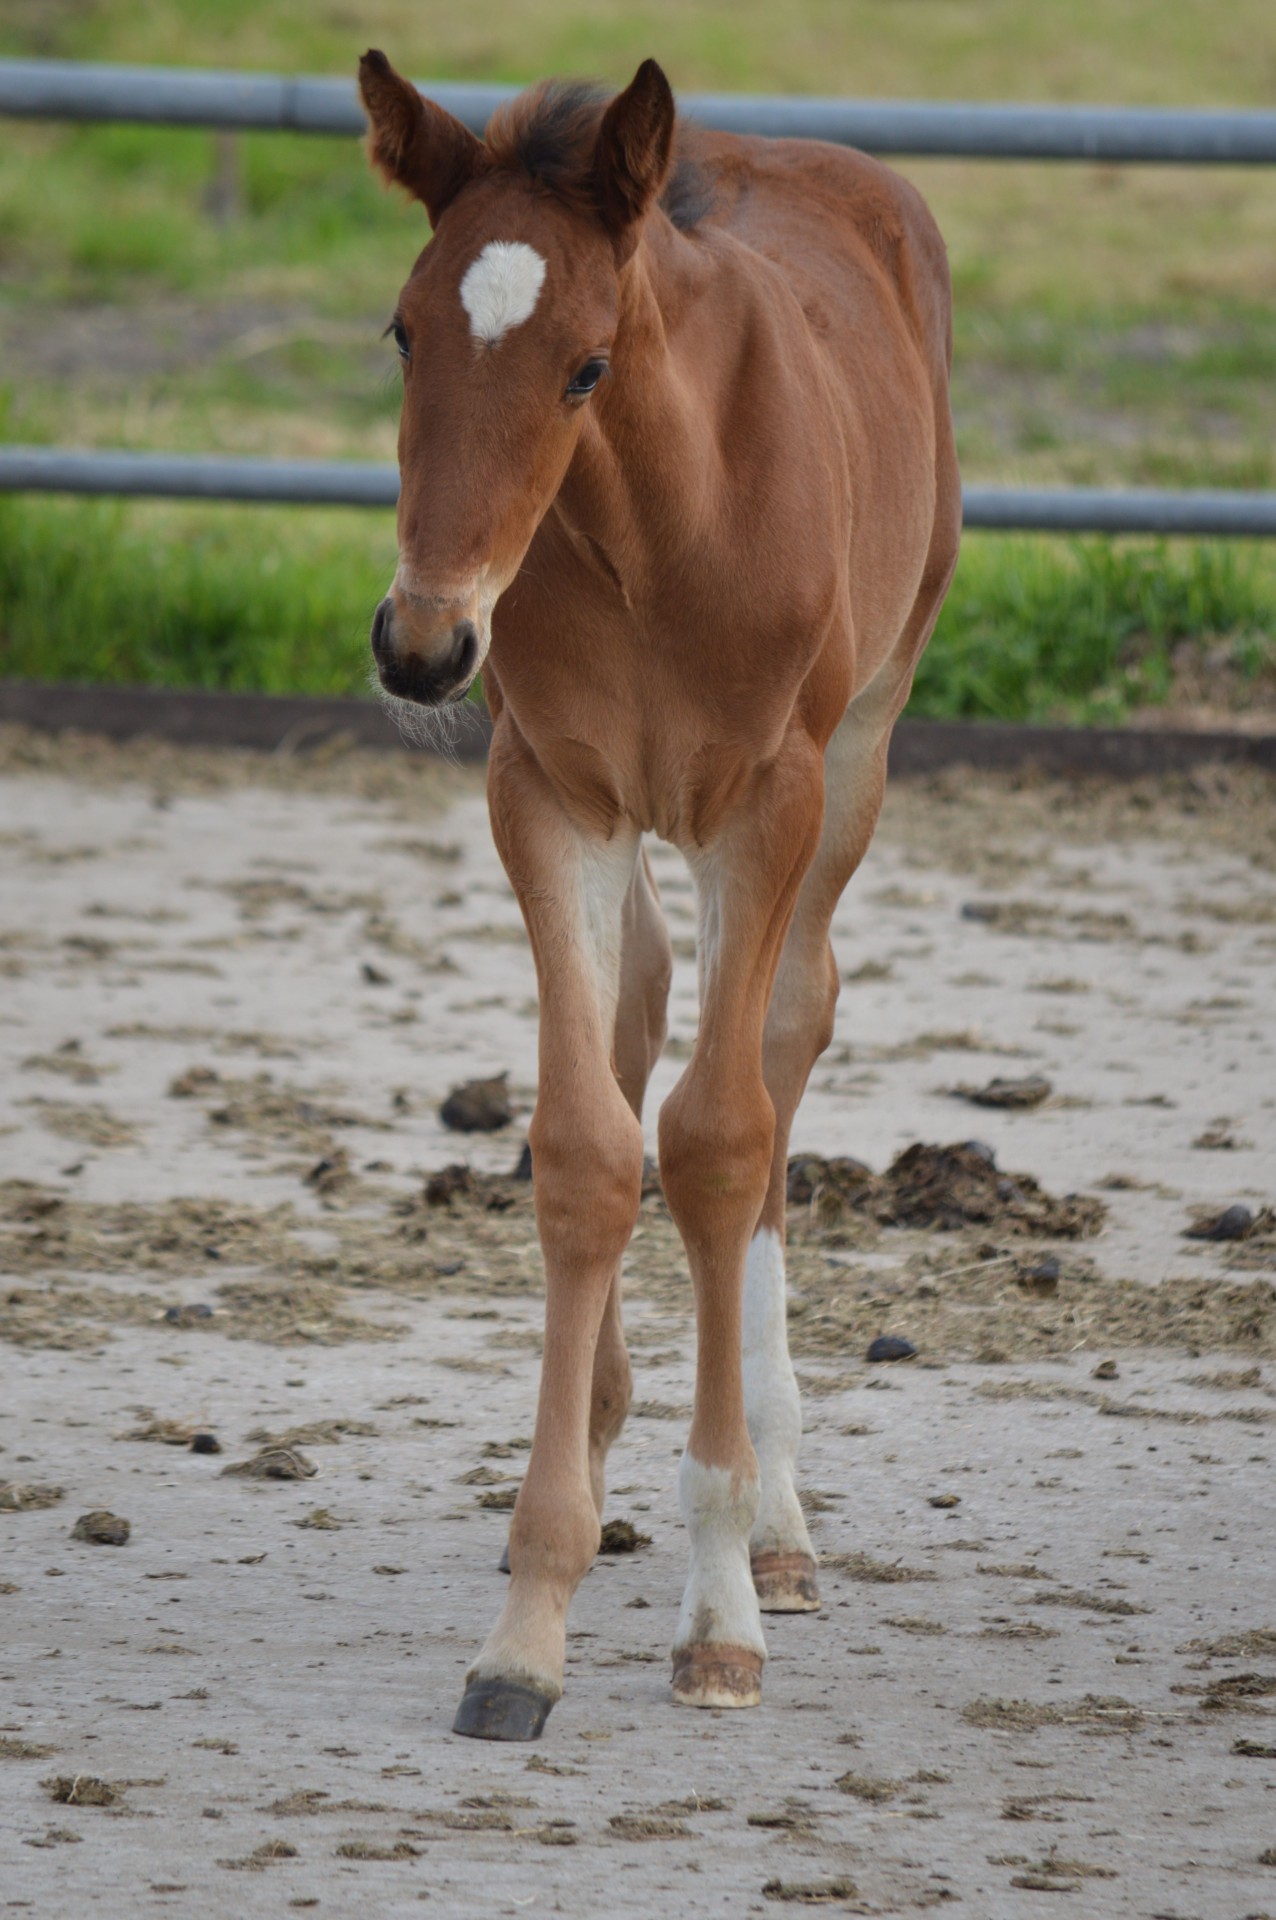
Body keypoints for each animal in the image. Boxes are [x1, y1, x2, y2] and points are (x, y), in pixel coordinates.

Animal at [354, 48, 955, 1743]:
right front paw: (526, 1625)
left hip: (860, 750)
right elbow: (580, 1147)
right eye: (404, 331)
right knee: (635, 1026)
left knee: (782, 1046)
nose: (421, 643)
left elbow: (723, 1141)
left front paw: (723, 1609)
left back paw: (781, 1517)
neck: (659, 526)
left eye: (588, 365)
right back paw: (620, 1423)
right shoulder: (549, 795)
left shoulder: (770, 801)